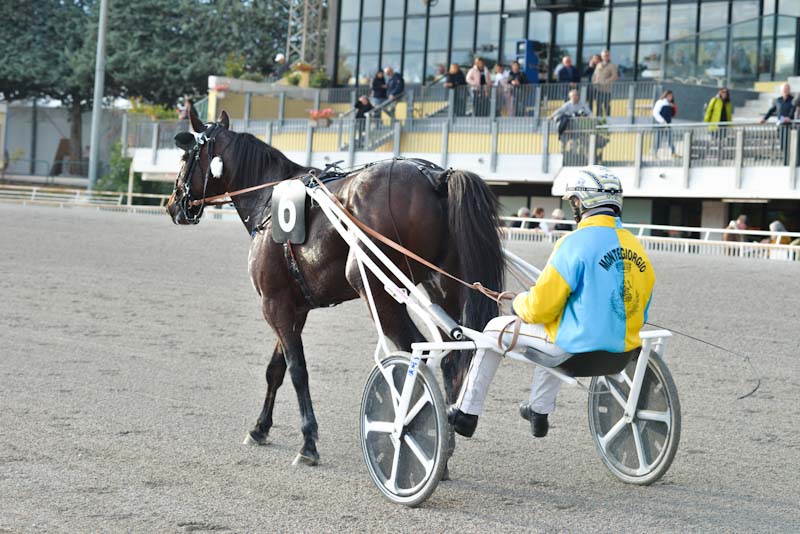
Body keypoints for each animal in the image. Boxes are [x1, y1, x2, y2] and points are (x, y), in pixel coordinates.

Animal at [166, 110, 504, 468]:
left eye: (186, 157)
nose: (172, 204)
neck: (270, 202)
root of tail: (437, 178)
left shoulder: (274, 304)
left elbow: (297, 370)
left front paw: (308, 442)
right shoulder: (294, 307)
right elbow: (276, 369)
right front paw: (260, 428)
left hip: (376, 288)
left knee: (418, 353)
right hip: (442, 287)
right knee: (453, 356)